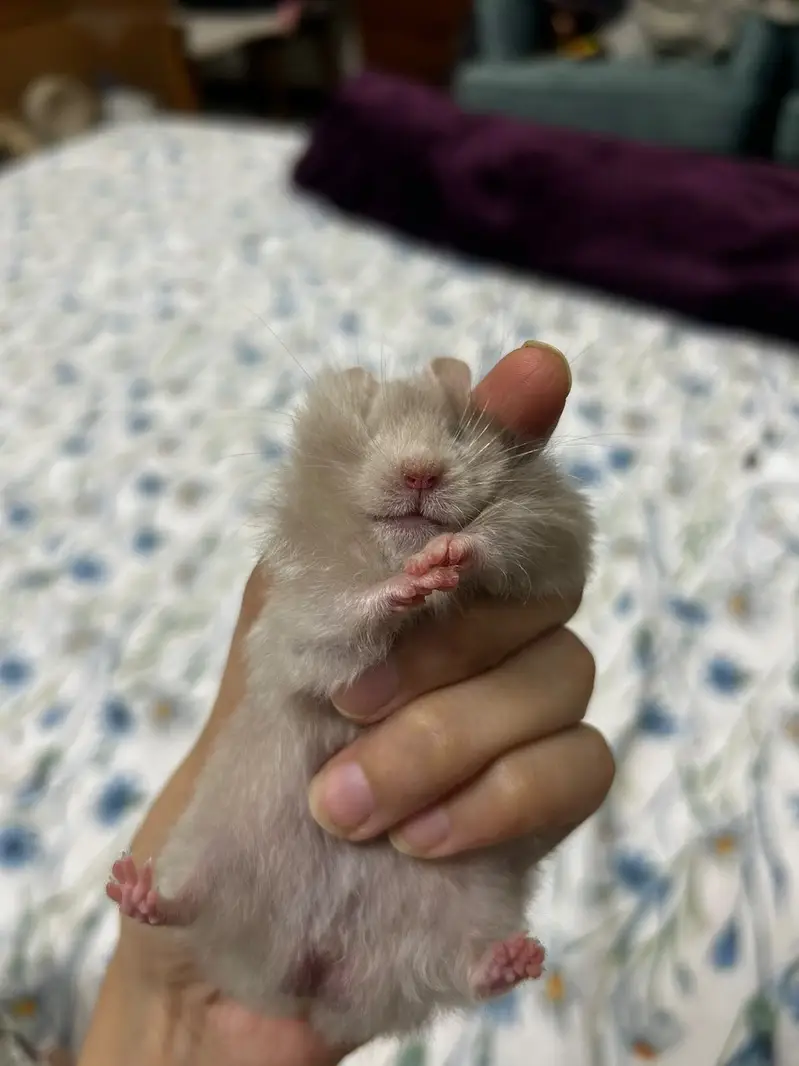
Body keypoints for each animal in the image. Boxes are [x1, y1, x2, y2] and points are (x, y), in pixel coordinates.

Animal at [106, 357, 594, 1049]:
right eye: (368, 426)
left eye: (458, 430)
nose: (421, 472)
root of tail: (313, 977)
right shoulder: (297, 621)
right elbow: (342, 619)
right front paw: (413, 580)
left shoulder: (559, 534)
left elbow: (505, 537)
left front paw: (448, 555)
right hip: (211, 848)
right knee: (190, 906)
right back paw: (135, 889)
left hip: (467, 903)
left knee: (460, 974)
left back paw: (517, 958)